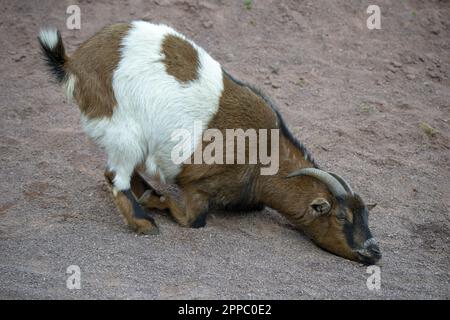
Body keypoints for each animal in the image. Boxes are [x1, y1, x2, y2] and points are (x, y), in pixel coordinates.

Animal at [39, 21, 384, 264]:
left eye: (366, 215)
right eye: (340, 217)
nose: (374, 252)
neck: (262, 155)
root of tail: (74, 62)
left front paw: (154, 194)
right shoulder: (199, 185)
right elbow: (194, 220)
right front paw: (159, 201)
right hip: (124, 131)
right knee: (114, 175)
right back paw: (144, 221)